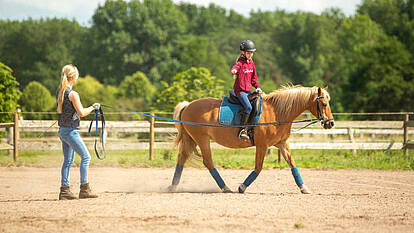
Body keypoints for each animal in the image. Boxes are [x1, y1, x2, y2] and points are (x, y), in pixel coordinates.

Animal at [168, 86, 334, 194]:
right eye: (324, 103)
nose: (330, 123)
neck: (277, 112)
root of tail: (188, 105)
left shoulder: (282, 144)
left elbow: (292, 164)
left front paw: (304, 188)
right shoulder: (262, 145)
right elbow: (258, 168)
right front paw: (242, 187)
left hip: (191, 139)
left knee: (181, 158)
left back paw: (173, 186)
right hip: (201, 139)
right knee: (207, 162)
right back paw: (225, 188)